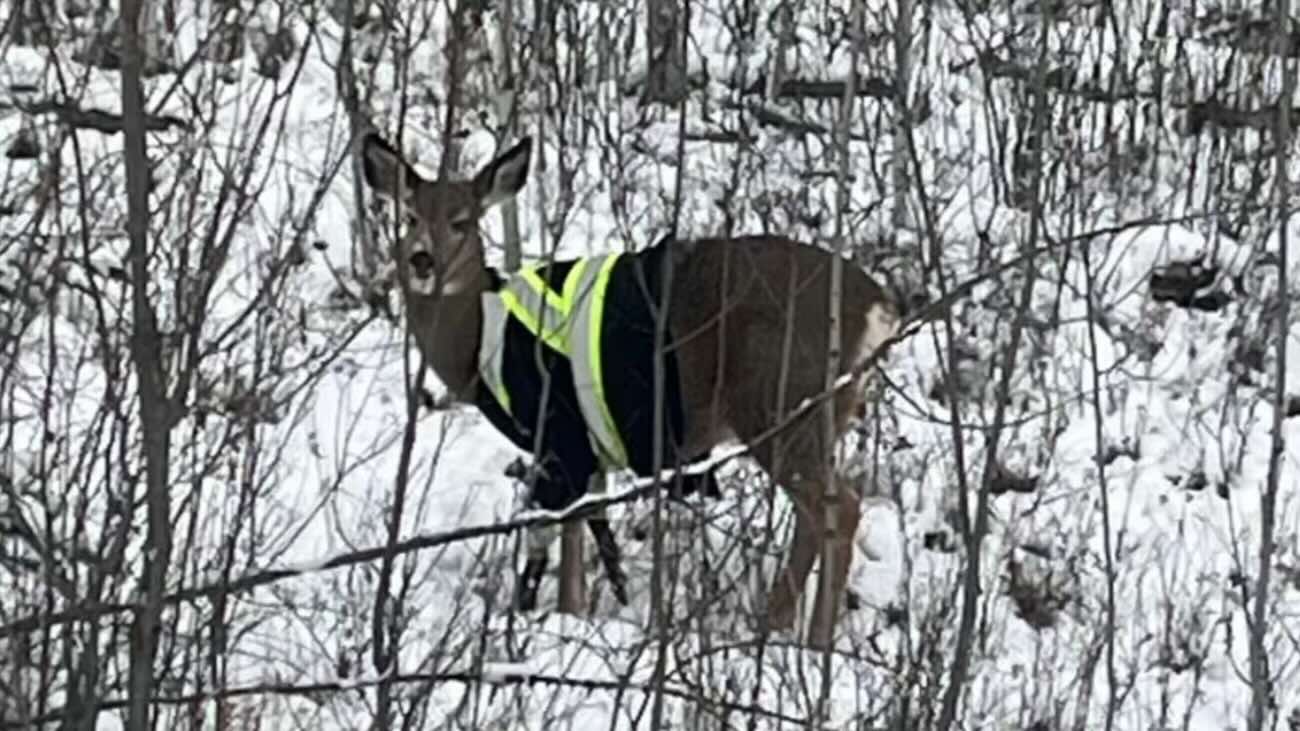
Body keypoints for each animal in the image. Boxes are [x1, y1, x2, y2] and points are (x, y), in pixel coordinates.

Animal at [361, 129, 899, 642]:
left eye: (463, 221)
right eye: (409, 216)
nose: (422, 260)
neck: (477, 341)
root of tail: (877, 310)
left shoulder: (558, 430)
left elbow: (563, 531)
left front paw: (564, 617)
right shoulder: (587, 447)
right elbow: (587, 527)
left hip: (781, 403)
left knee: (838, 508)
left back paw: (806, 640)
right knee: (819, 514)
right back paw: (781, 626)